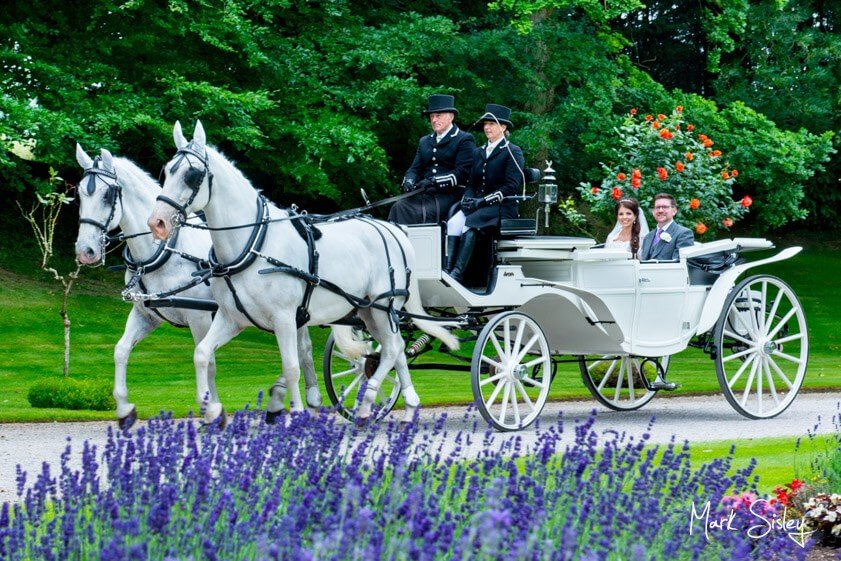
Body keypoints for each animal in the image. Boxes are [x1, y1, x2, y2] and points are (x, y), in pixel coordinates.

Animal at [74, 143, 332, 424]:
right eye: (79, 194)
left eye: (107, 195)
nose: (85, 251)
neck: (165, 251)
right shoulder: (146, 315)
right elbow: (121, 351)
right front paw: (124, 408)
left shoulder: (200, 318)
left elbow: (208, 363)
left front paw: (213, 408)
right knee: (303, 350)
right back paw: (302, 398)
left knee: (302, 350)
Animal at [148, 120, 456, 422]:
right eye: (166, 171)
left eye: (192, 175)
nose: (157, 223)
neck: (253, 245)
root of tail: (394, 230)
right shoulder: (231, 318)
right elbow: (202, 354)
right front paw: (211, 409)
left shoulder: (284, 318)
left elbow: (292, 365)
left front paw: (295, 411)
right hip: (370, 311)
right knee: (397, 348)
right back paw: (410, 405)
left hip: (384, 306)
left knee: (391, 350)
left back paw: (368, 402)